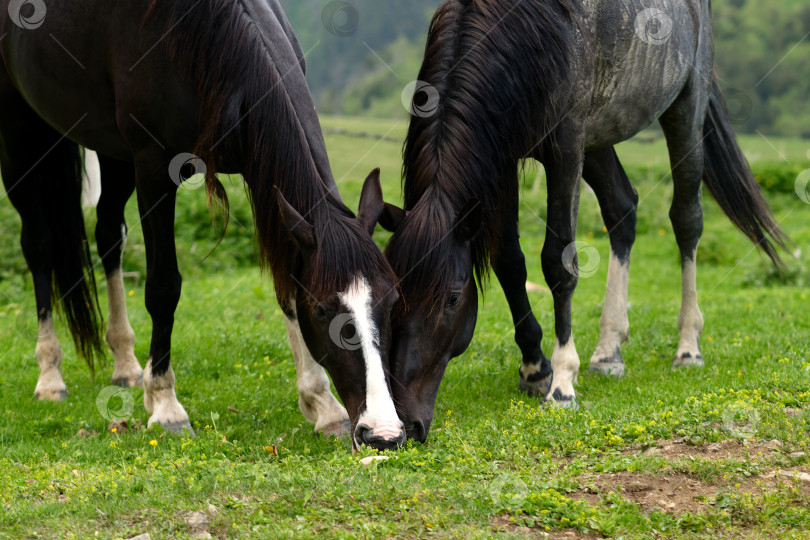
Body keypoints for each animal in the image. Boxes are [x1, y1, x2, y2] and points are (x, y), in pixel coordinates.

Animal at [0, 0, 404, 450]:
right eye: (322, 310)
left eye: (392, 301)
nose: (383, 433)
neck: (207, 34)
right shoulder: (154, 169)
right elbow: (163, 288)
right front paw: (165, 405)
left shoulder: (258, 172)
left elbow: (285, 284)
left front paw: (323, 406)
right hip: (17, 132)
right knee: (39, 244)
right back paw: (50, 374)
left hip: (110, 148)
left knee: (108, 234)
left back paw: (125, 363)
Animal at [380, 0, 788, 440]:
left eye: (453, 298)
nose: (407, 422)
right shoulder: (503, 157)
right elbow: (510, 262)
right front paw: (535, 368)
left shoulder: (565, 149)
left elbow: (558, 262)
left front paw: (561, 384)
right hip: (600, 136)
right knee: (622, 210)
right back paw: (609, 352)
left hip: (685, 111)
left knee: (686, 221)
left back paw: (688, 346)